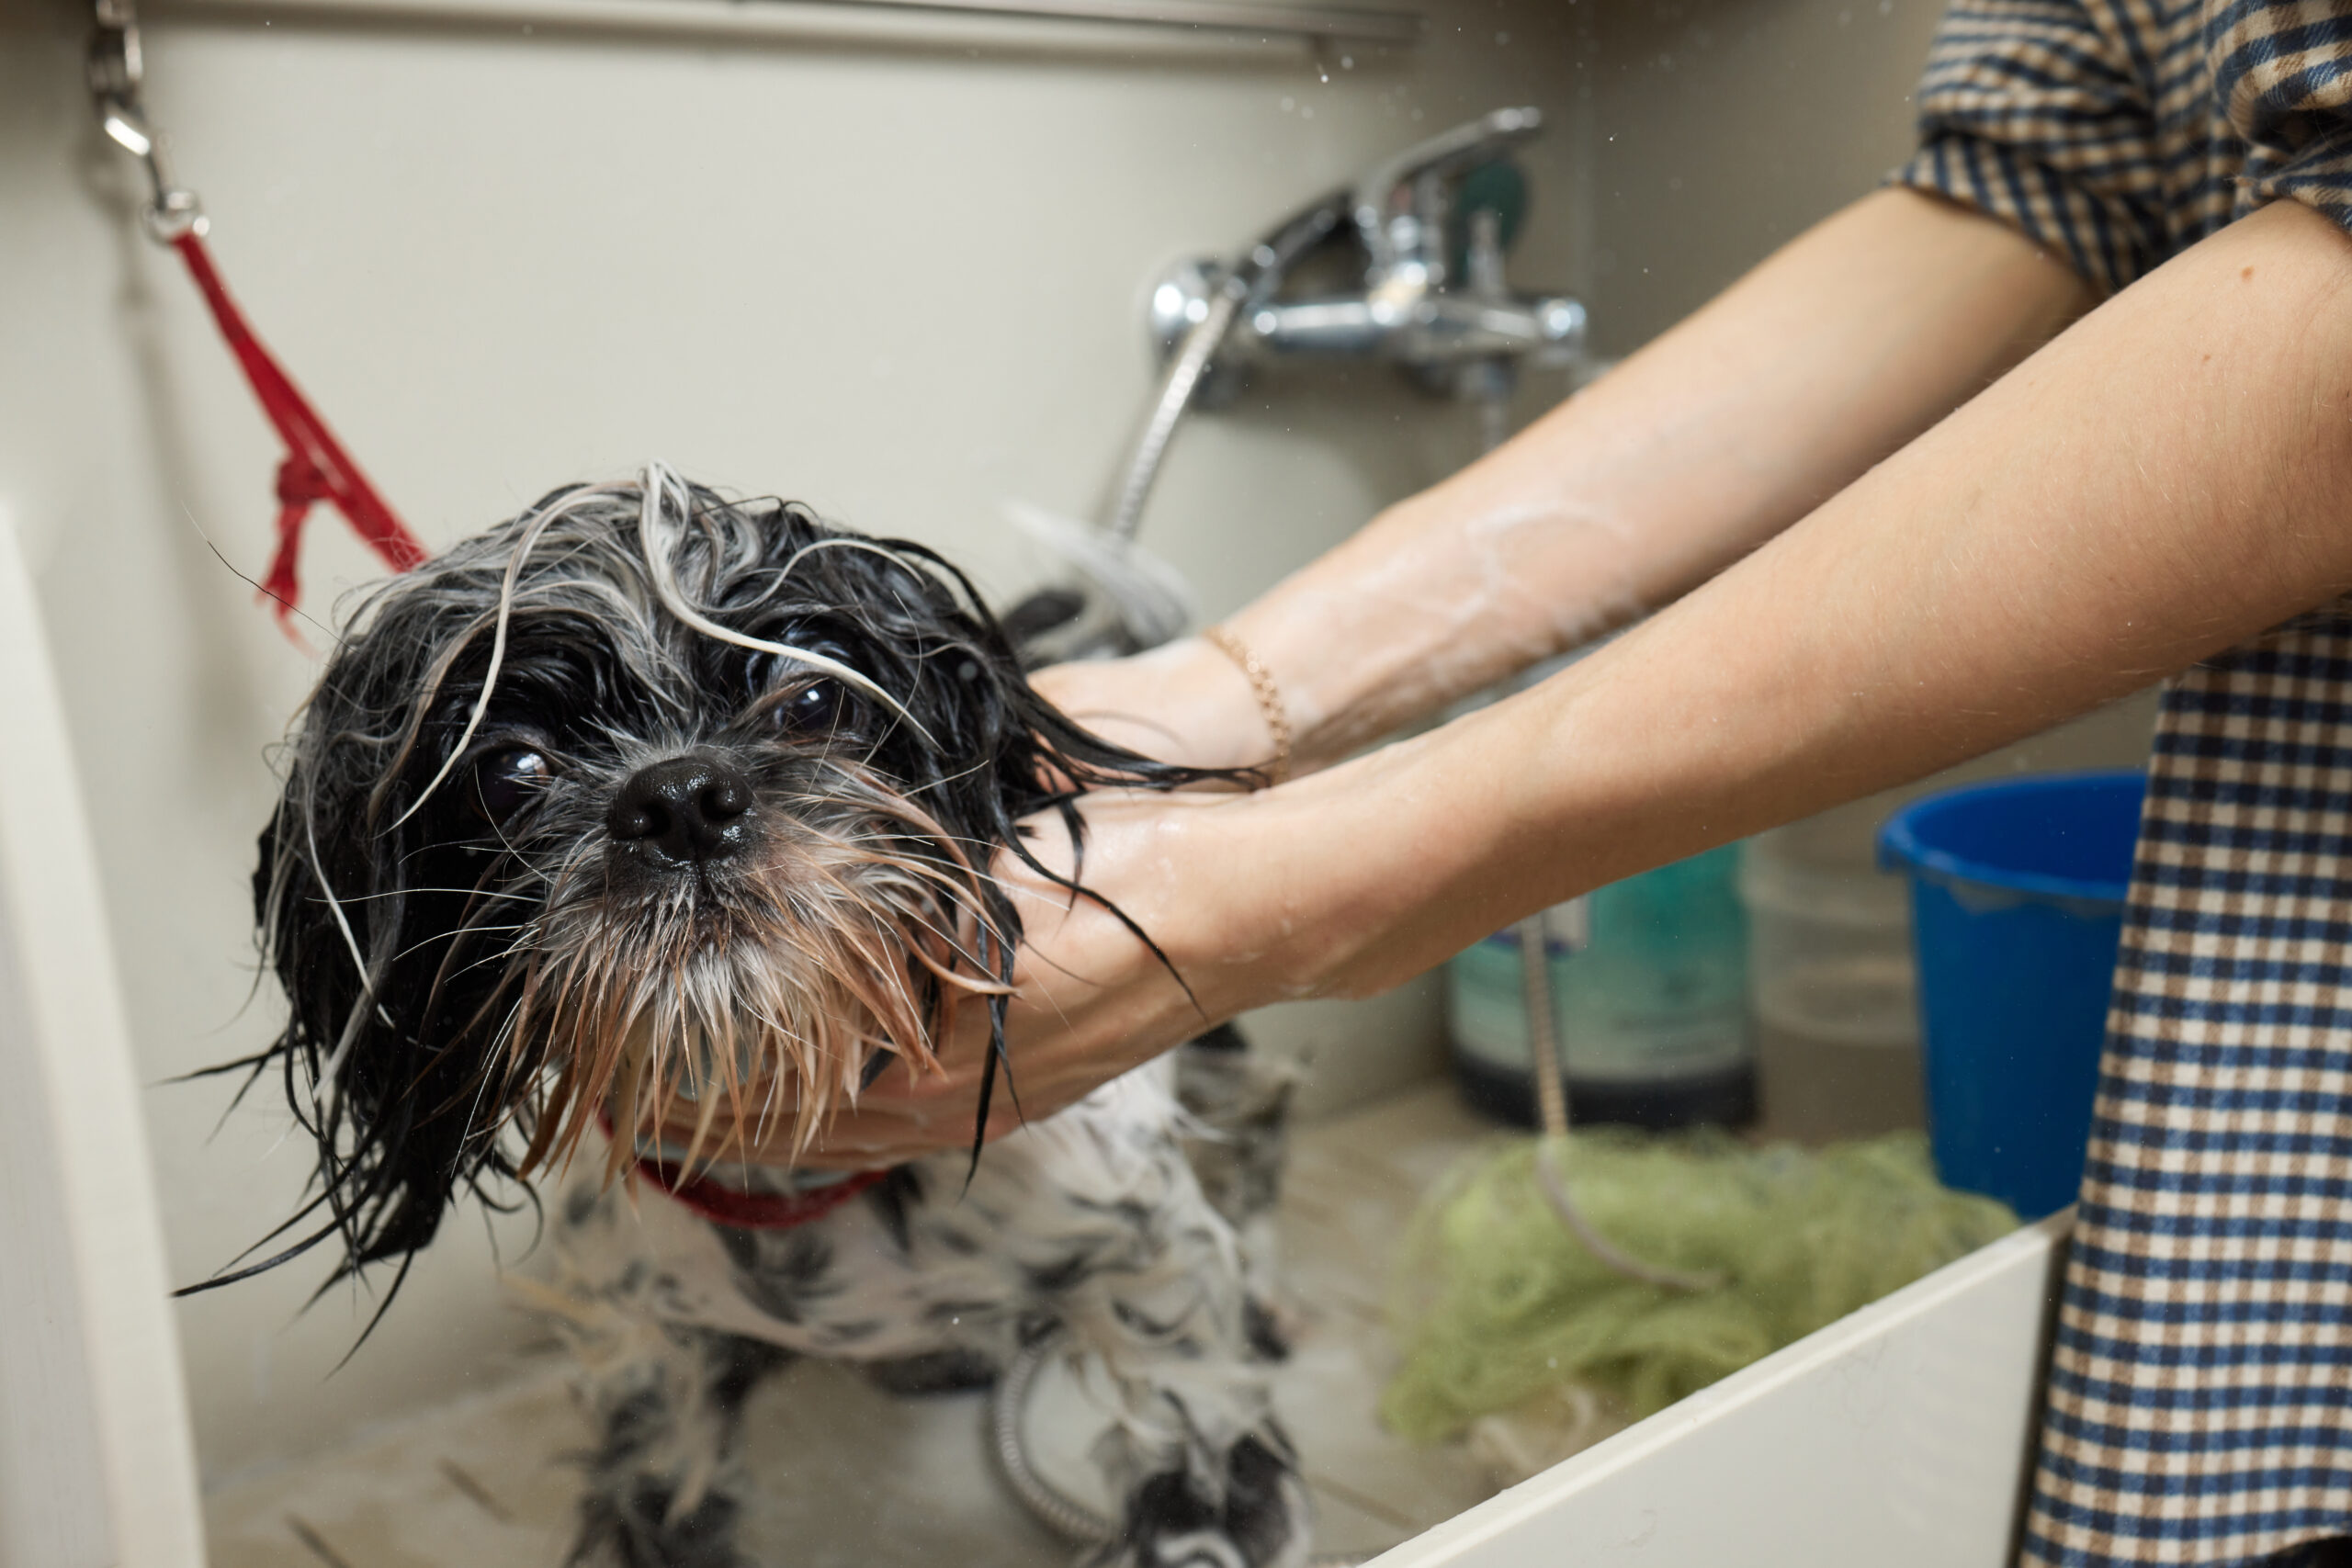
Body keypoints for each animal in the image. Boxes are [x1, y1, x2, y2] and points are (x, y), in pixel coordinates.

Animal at [224, 469, 1307, 1568]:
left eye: (816, 695)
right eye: (512, 769)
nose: (680, 797)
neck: (804, 1188)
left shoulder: (1166, 1304)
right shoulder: (652, 1378)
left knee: (1270, 1097)